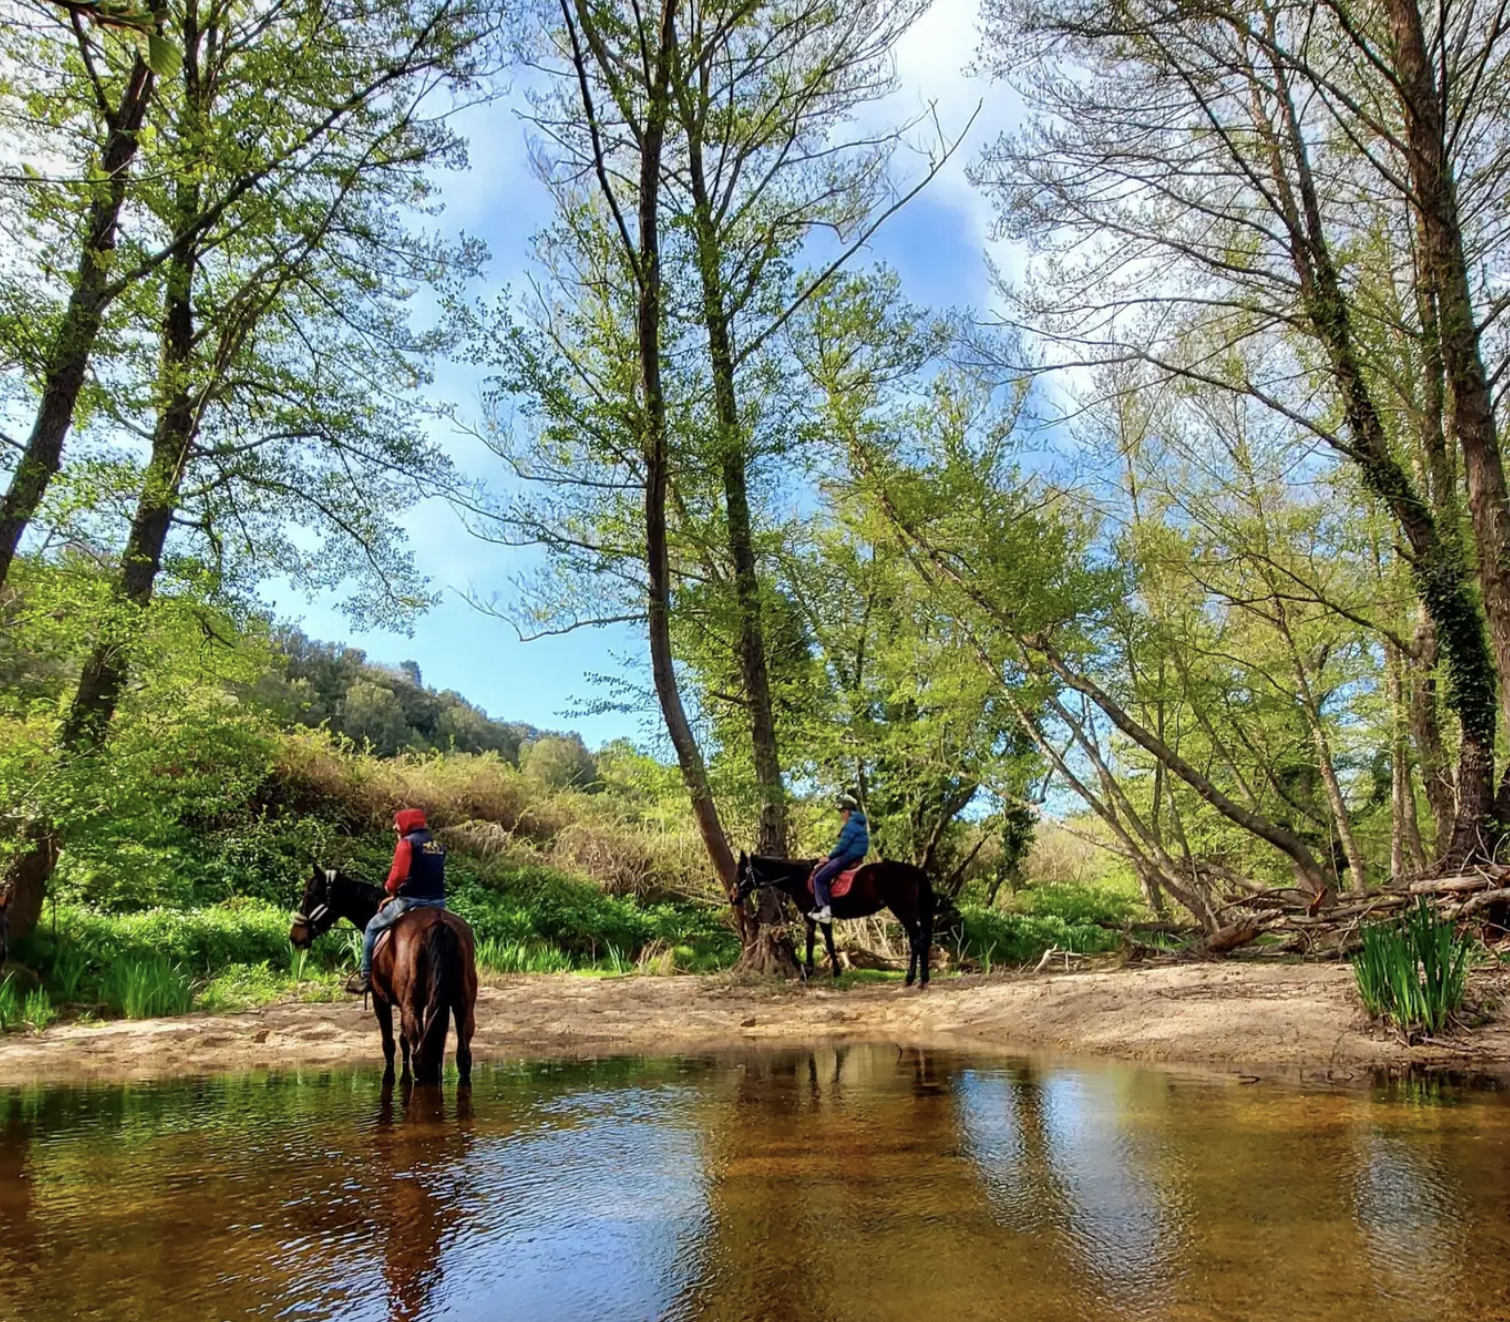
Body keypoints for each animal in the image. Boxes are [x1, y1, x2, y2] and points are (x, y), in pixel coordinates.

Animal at [290, 865, 478, 1087]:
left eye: (310, 894)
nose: (295, 936)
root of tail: (439, 923)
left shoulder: (380, 1000)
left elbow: (389, 1045)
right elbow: (404, 1043)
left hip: (411, 1007)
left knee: (419, 1055)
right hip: (463, 1005)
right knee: (461, 1055)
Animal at [736, 852, 936, 986]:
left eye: (741, 872)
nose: (733, 897)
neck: (798, 877)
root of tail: (916, 871)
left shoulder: (809, 915)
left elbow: (810, 941)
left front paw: (806, 973)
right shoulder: (825, 918)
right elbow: (830, 942)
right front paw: (836, 971)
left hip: (903, 910)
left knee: (917, 940)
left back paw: (912, 979)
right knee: (920, 940)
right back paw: (921, 979)